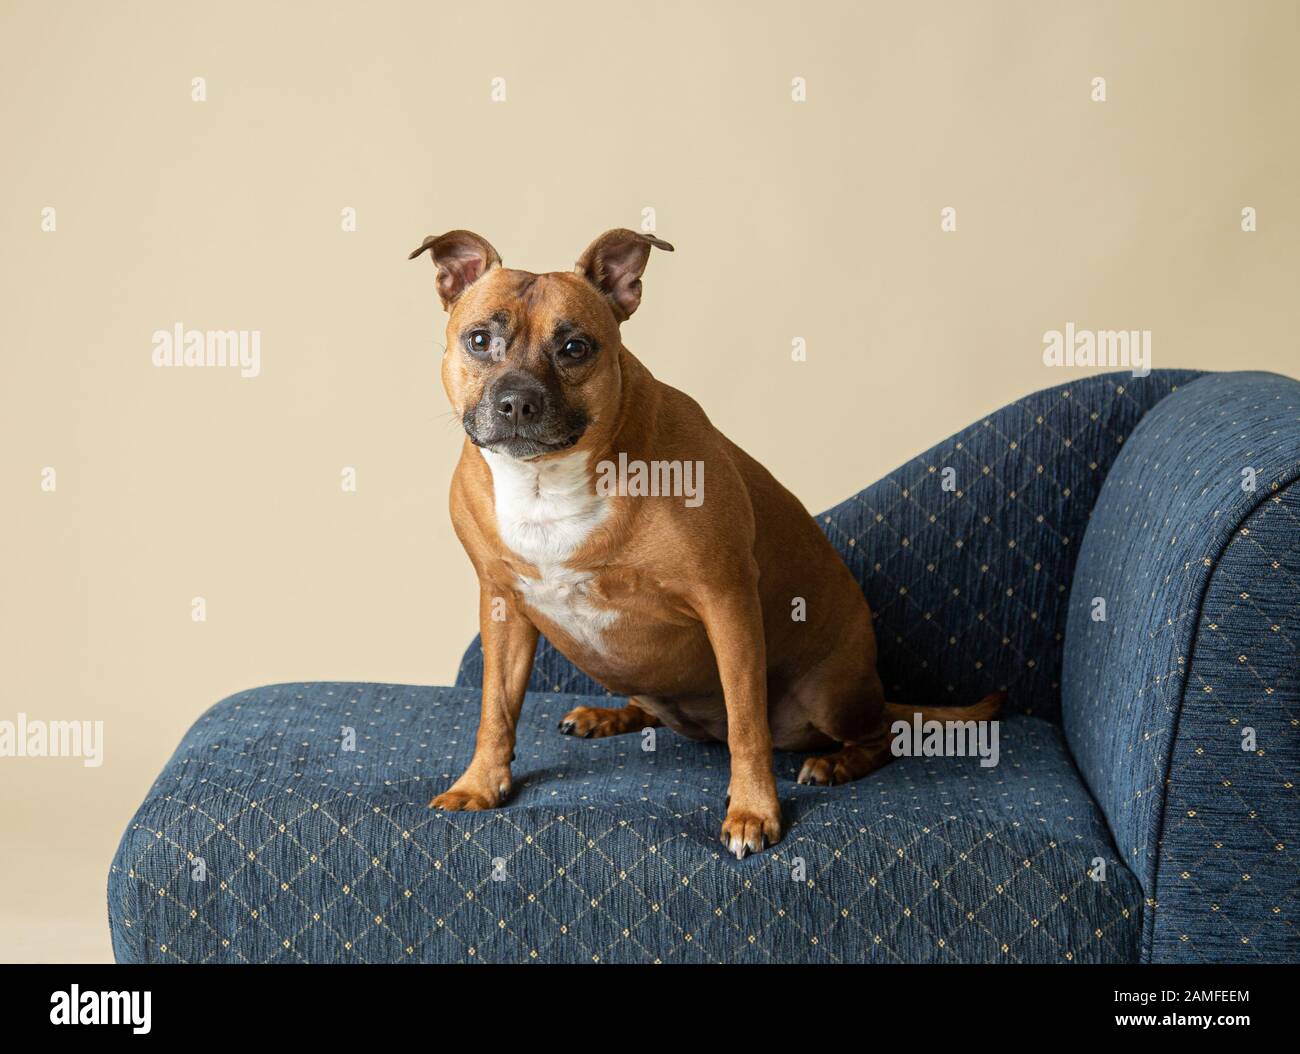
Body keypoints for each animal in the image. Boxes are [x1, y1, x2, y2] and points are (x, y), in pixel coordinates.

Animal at [410, 228, 998, 857]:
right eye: (479, 340)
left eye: (574, 348)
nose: (517, 401)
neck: (548, 479)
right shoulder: (502, 605)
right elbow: (495, 709)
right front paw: (479, 785)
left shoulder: (726, 601)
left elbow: (747, 724)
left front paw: (753, 811)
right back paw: (609, 716)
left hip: (830, 694)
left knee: (882, 733)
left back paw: (836, 764)